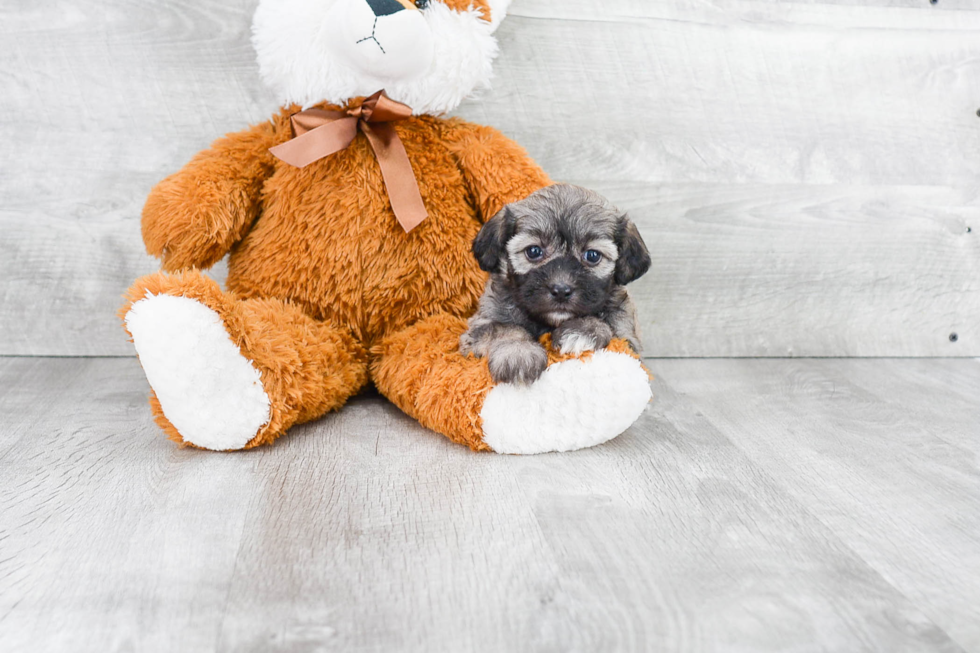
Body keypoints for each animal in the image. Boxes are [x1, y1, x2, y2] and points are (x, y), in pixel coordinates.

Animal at [460, 183, 652, 384]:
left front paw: (582, 330)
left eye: (592, 255)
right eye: (534, 251)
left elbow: (609, 328)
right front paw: (518, 352)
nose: (561, 290)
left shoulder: (627, 339)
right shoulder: (480, 325)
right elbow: (504, 328)